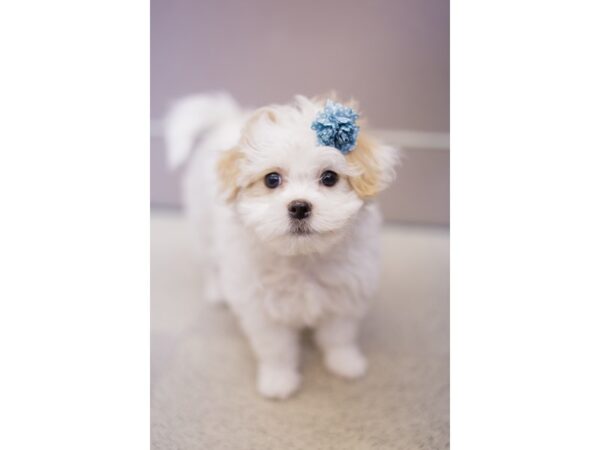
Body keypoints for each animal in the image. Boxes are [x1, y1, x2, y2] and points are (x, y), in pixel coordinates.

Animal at [165, 93, 398, 400]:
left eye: (329, 177)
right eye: (271, 179)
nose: (299, 206)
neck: (302, 257)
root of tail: (226, 118)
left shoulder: (345, 294)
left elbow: (339, 335)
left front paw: (345, 363)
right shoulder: (262, 310)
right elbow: (276, 348)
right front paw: (278, 381)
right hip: (202, 227)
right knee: (210, 263)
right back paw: (217, 291)